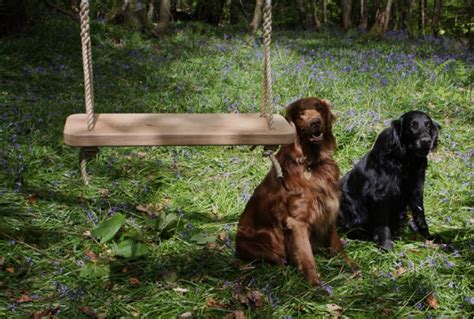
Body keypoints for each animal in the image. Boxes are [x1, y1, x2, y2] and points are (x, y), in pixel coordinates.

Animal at [235, 97, 358, 284]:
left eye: (319, 108)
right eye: (301, 113)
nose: (315, 122)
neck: (311, 163)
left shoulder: (329, 207)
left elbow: (336, 244)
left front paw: (348, 264)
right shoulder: (297, 221)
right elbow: (307, 256)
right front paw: (314, 285)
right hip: (257, 243)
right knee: (277, 258)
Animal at [336, 111, 440, 251]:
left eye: (428, 125)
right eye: (412, 125)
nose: (426, 141)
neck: (405, 161)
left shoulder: (416, 190)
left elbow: (420, 214)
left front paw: (429, 237)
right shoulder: (380, 196)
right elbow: (383, 224)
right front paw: (386, 245)